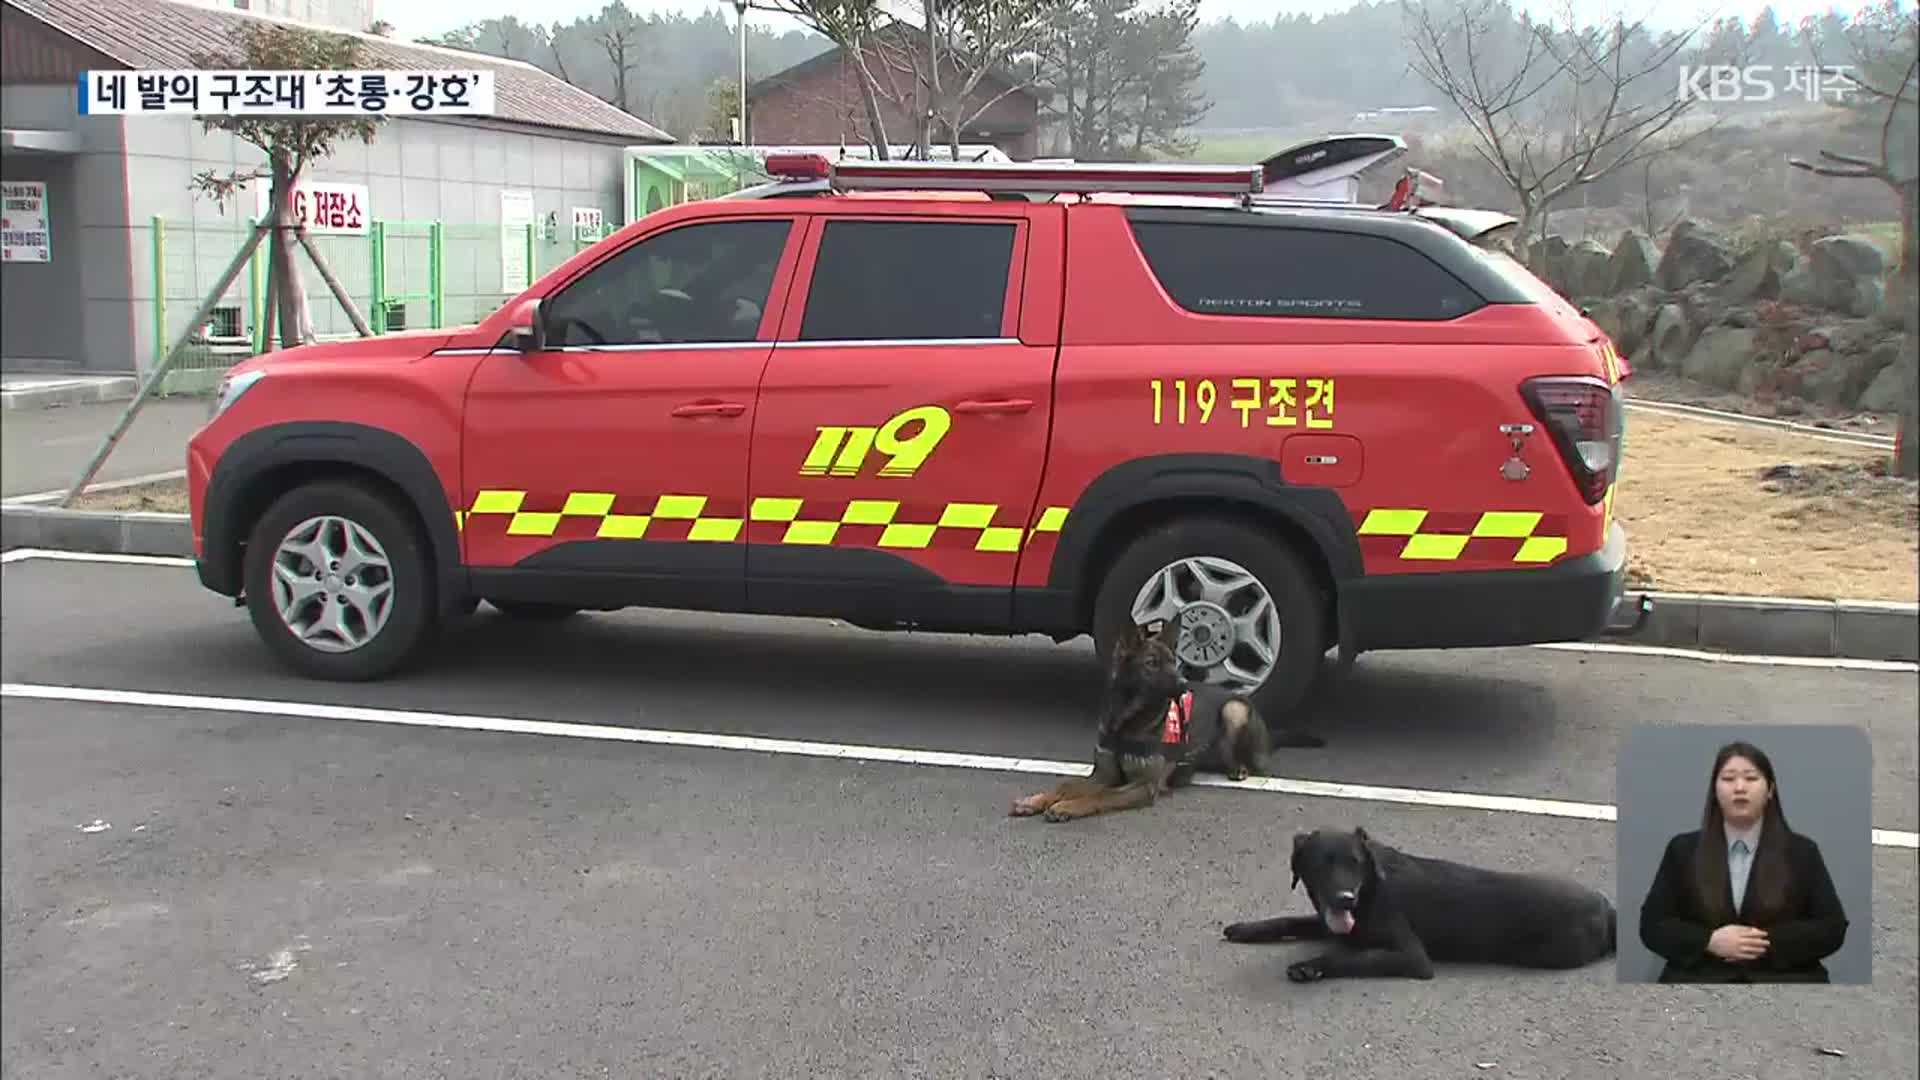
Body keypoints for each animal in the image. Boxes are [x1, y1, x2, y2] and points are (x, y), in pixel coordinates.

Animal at [1006, 611, 1320, 818]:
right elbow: (1066, 784)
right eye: (1151, 663)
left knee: (1253, 761)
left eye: (1174, 661)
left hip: (1235, 710)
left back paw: (1240, 768)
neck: (1127, 718)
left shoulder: (1143, 786)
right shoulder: (1102, 774)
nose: (1183, 685)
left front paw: (1067, 807)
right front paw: (1036, 800)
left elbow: (1101, 796)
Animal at [1221, 822, 1612, 976]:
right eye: (1321, 864)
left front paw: (1309, 966)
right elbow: (1288, 919)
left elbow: (1354, 958)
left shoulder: (1411, 956)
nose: (1345, 899)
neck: (1371, 890)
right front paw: (1245, 929)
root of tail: (1610, 908)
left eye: (1355, 864)